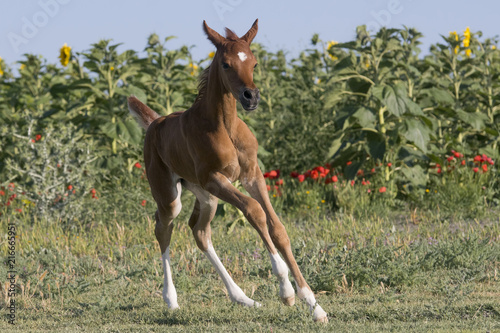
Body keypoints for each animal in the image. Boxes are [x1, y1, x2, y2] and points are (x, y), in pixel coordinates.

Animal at [127, 19, 326, 320]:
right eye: (226, 64)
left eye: (254, 63)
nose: (251, 96)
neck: (225, 127)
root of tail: (154, 123)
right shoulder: (215, 178)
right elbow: (254, 211)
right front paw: (286, 291)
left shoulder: (251, 174)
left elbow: (277, 228)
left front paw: (314, 305)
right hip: (172, 195)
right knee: (163, 228)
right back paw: (171, 299)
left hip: (206, 197)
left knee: (199, 232)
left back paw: (243, 298)